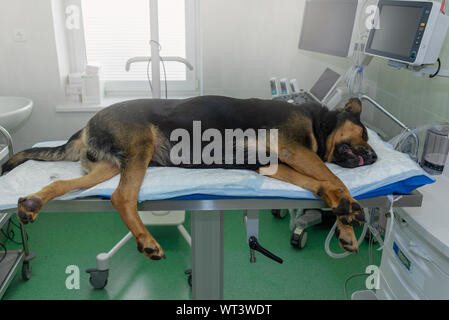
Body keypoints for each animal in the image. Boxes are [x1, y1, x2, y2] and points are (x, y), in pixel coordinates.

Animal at [1, 95, 376, 260]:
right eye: (364, 134)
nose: (373, 158)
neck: (318, 123)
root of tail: (86, 124)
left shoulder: (274, 163)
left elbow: (322, 184)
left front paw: (342, 215)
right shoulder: (293, 149)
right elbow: (335, 179)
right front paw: (350, 211)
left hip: (108, 167)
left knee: (64, 185)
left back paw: (32, 202)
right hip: (140, 144)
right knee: (122, 197)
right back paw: (147, 240)